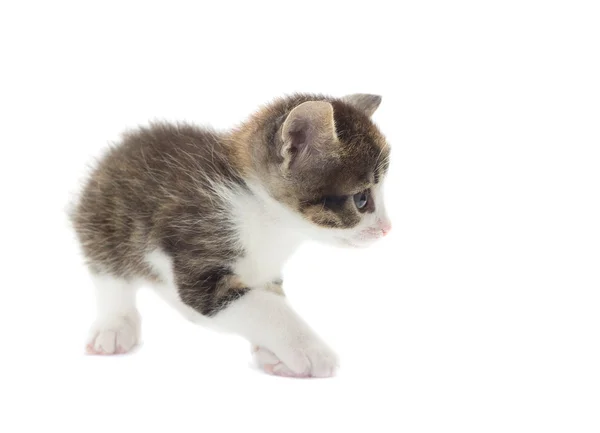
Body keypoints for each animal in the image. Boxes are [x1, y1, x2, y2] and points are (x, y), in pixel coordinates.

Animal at [69, 93, 394, 376]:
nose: (387, 228)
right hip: (102, 221)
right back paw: (114, 326)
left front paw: (275, 354)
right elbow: (263, 307)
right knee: (111, 278)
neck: (269, 219)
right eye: (362, 199)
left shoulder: (264, 272)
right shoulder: (198, 247)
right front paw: (311, 350)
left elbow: (269, 298)